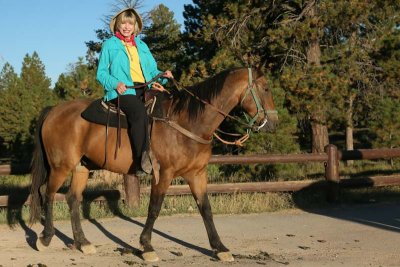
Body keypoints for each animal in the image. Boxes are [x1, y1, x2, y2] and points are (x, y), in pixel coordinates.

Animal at [28, 66, 278, 262]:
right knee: (47, 193)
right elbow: (155, 208)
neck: (188, 121)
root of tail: (54, 110)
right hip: (61, 167)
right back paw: (46, 238)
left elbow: (206, 209)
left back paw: (83, 242)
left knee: (73, 199)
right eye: (266, 88)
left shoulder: (197, 174)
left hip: (81, 167)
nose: (272, 123)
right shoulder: (164, 173)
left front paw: (220, 248)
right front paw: (146, 246)